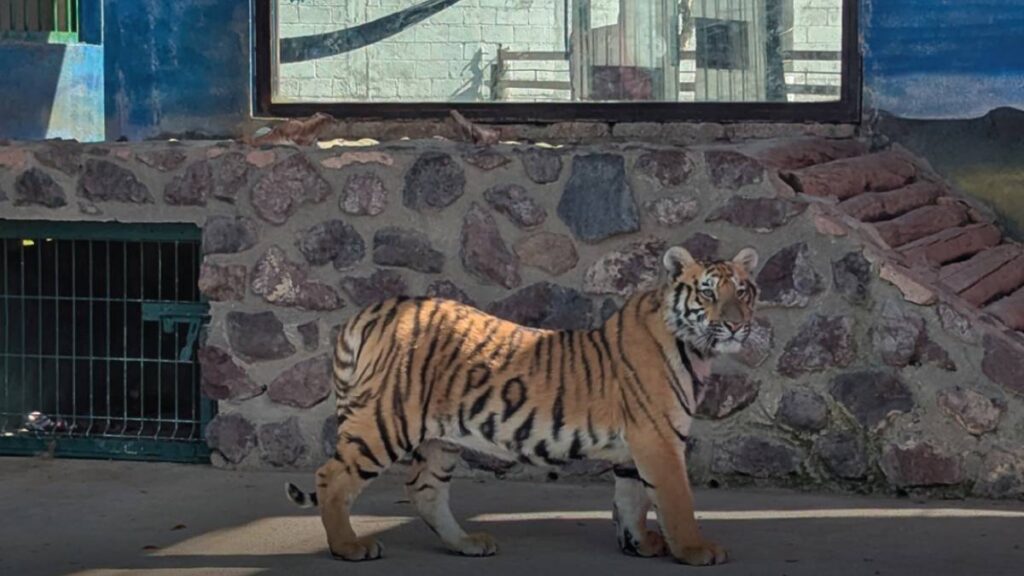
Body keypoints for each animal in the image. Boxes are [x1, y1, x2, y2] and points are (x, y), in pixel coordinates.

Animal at [285, 244, 760, 566]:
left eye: (743, 292)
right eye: (708, 294)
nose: (736, 325)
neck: (694, 348)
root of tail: (369, 312)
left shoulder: (636, 447)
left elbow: (632, 500)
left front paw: (640, 544)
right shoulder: (659, 439)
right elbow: (676, 500)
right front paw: (695, 549)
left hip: (440, 438)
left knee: (424, 490)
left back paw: (467, 544)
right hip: (385, 422)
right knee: (331, 478)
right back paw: (348, 547)